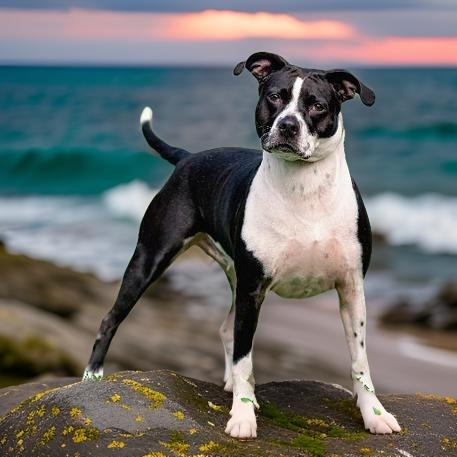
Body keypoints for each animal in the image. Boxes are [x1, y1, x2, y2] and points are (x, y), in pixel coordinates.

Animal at [82, 50, 400, 438]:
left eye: (318, 105)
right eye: (275, 97)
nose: (288, 125)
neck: (304, 188)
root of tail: (188, 157)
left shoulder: (351, 289)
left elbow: (360, 360)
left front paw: (375, 414)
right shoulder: (253, 290)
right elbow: (246, 358)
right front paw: (243, 416)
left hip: (232, 275)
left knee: (225, 329)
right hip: (149, 258)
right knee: (111, 319)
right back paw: (92, 377)